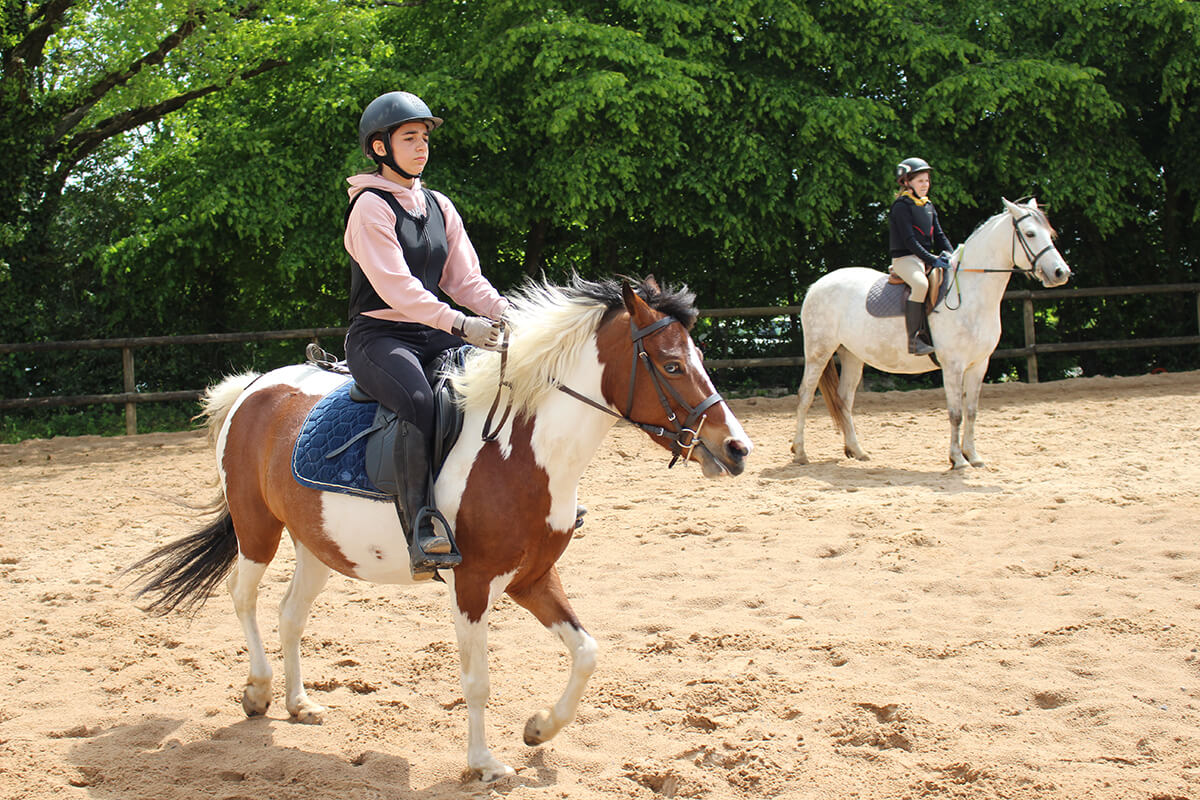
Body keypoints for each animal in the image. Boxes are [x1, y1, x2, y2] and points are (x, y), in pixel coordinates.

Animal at [129, 277, 748, 782]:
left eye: (697, 357)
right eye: (671, 365)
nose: (736, 448)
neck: (522, 449)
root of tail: (254, 387)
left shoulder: (532, 579)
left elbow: (588, 652)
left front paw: (539, 728)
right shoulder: (471, 585)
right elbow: (477, 681)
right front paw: (484, 764)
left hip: (318, 545)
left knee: (290, 614)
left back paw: (299, 703)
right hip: (258, 528)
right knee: (244, 596)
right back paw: (257, 691)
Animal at [796, 196, 1070, 465]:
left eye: (1049, 233)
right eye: (1030, 233)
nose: (1061, 273)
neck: (970, 294)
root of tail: (816, 286)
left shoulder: (979, 364)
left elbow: (972, 412)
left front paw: (973, 456)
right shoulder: (953, 366)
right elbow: (955, 413)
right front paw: (957, 459)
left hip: (851, 354)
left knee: (844, 399)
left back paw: (857, 450)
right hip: (819, 353)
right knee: (805, 395)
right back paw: (800, 453)